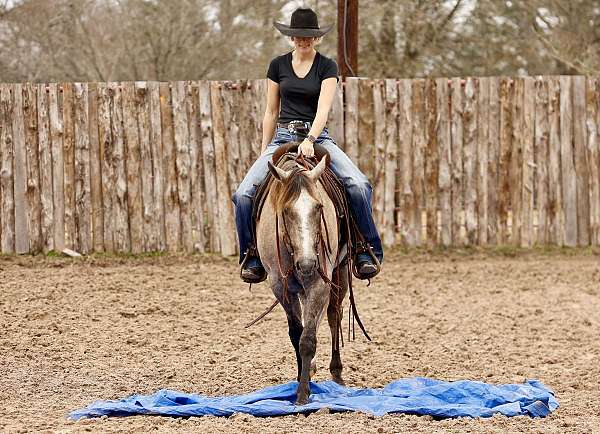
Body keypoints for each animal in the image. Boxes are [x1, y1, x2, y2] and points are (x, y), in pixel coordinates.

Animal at [256, 151, 350, 406]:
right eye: (286, 211)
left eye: (319, 207)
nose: (307, 263)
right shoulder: (281, 286)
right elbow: (296, 334)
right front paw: (301, 380)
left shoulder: (320, 283)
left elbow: (307, 339)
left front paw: (302, 394)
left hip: (340, 274)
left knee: (333, 316)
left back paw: (336, 373)